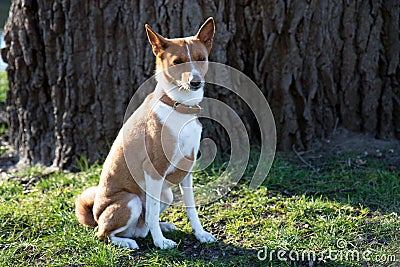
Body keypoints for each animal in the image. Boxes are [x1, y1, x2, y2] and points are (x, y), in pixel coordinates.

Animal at [76, 17, 217, 250]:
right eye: (177, 62)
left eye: (201, 59)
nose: (195, 82)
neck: (178, 106)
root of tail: (96, 215)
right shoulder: (154, 170)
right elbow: (151, 212)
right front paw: (160, 243)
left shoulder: (187, 170)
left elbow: (191, 209)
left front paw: (201, 234)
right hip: (130, 201)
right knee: (104, 233)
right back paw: (128, 242)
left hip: (166, 194)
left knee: (142, 226)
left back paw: (159, 227)